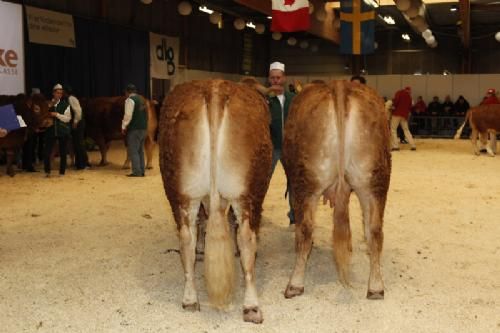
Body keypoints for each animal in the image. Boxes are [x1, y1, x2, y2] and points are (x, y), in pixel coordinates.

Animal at [158, 79, 272, 322]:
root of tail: (214, 89)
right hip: (247, 193)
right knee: (246, 238)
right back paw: (251, 306)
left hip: (182, 192)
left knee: (186, 238)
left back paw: (190, 300)